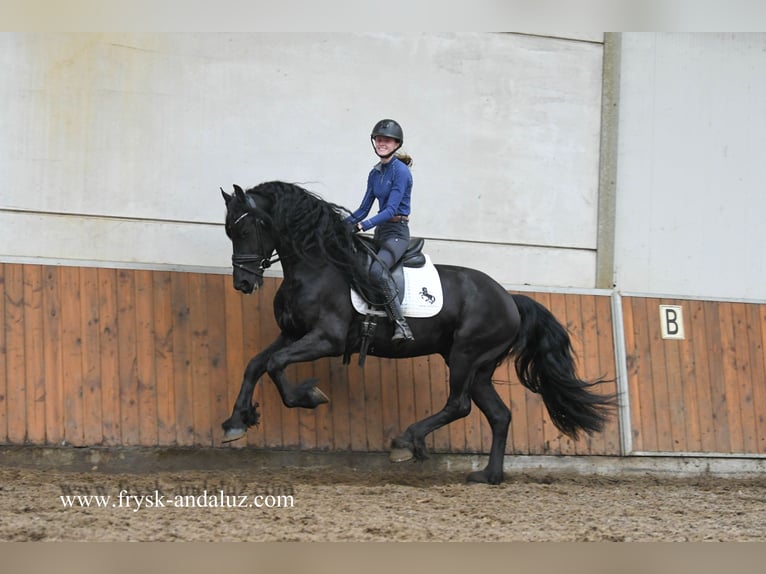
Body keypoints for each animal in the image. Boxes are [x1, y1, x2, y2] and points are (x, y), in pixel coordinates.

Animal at [220, 181, 616, 486]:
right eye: (229, 232)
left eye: (244, 230)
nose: (242, 284)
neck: (319, 265)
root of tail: (510, 299)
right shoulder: (292, 333)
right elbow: (257, 364)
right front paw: (236, 422)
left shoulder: (327, 339)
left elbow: (275, 365)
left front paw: (308, 396)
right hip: (479, 368)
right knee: (499, 414)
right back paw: (488, 476)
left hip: (466, 356)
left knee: (458, 405)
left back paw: (405, 443)